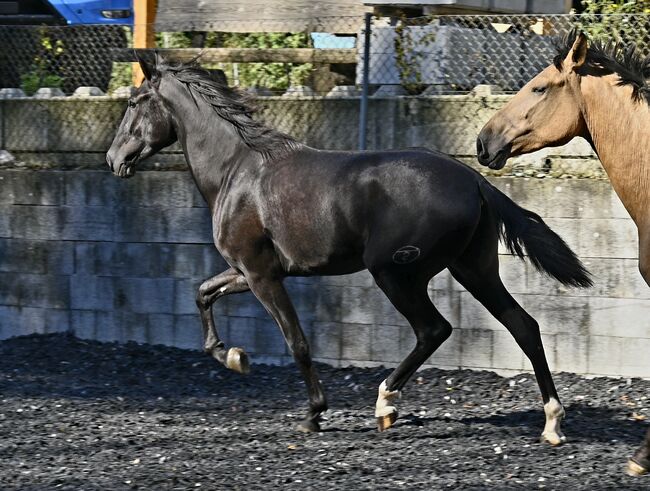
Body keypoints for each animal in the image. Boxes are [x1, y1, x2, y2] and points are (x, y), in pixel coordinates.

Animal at [106, 52, 592, 442]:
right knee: (523, 325)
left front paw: (313, 415)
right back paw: (552, 423)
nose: (114, 160)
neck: (237, 171)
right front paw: (235, 358)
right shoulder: (249, 271)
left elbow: (297, 342)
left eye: (133, 103)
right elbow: (203, 293)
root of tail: (474, 179)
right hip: (474, 269)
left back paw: (385, 404)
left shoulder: (262, 275)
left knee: (434, 329)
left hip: (395, 273)